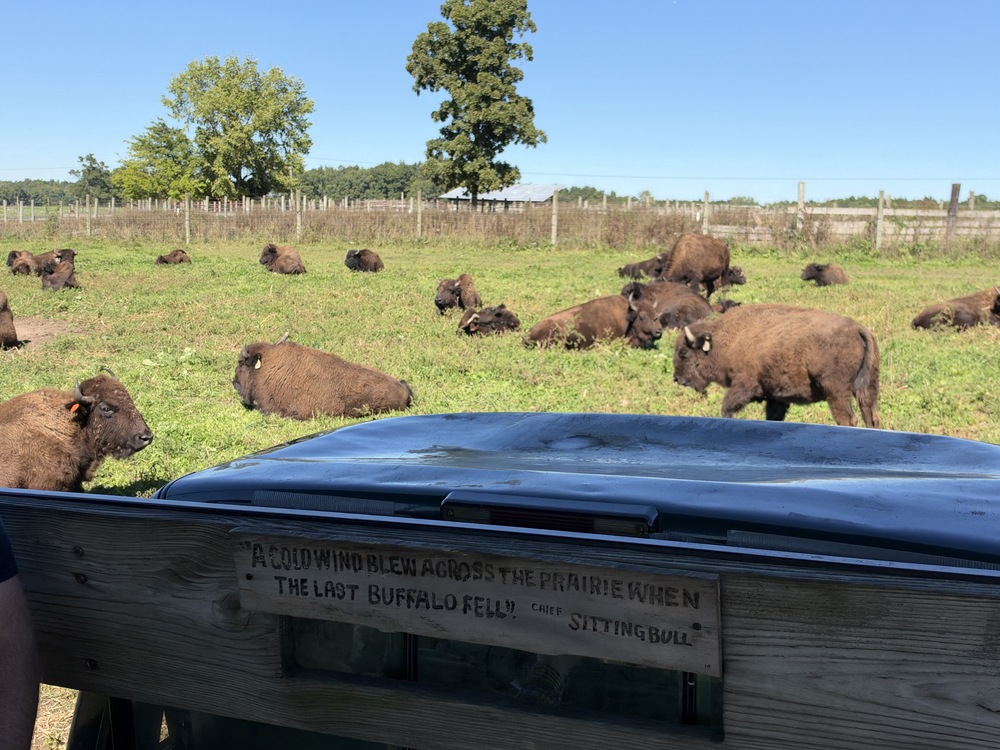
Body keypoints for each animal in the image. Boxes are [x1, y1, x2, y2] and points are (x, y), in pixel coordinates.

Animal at [673, 304, 881, 428]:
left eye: (683, 352)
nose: (677, 379)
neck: (726, 339)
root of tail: (858, 329)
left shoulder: (745, 385)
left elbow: (727, 407)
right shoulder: (776, 396)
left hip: (835, 391)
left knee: (847, 418)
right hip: (868, 387)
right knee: (871, 416)